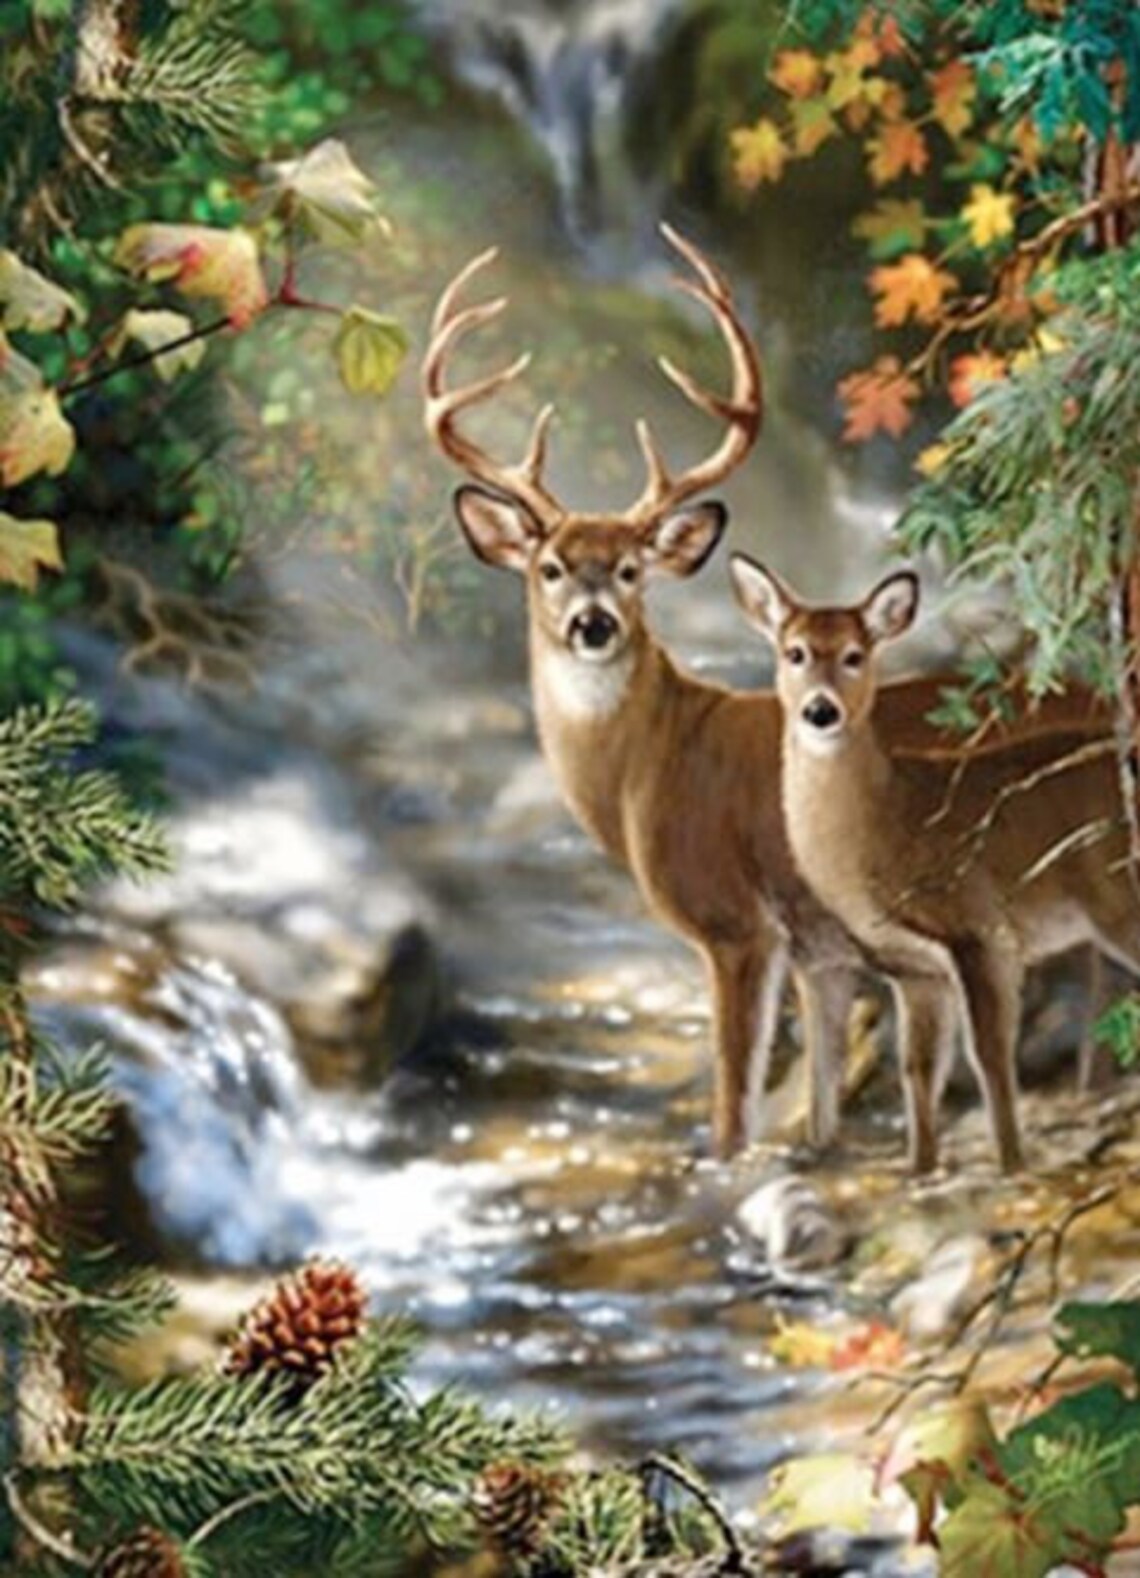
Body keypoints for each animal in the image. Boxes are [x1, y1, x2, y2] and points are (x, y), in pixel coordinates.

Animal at [729, 555, 1140, 1173]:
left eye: (855, 654)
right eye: (793, 652)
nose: (820, 710)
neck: (892, 821)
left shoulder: (982, 928)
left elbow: (990, 1056)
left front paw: (1011, 1165)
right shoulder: (915, 967)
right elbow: (919, 1069)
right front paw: (920, 1168)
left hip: (1119, 899)